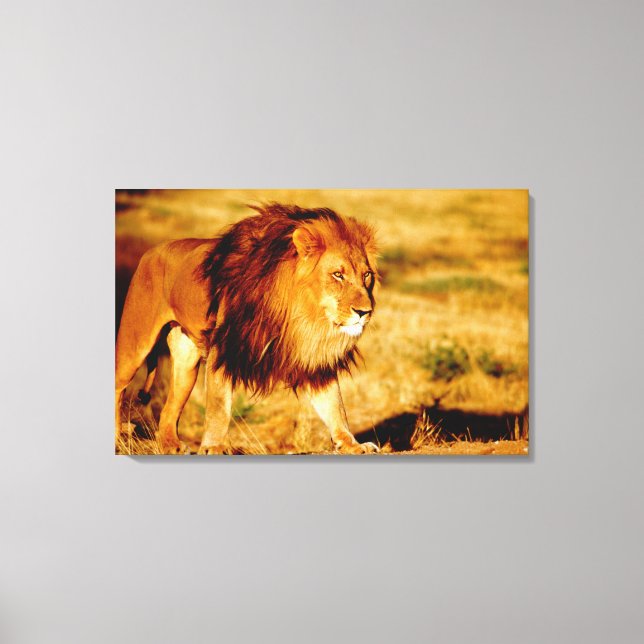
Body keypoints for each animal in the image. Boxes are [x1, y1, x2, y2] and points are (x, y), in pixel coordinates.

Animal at [115, 203, 380, 455]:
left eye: (366, 275)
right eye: (338, 275)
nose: (365, 312)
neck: (303, 315)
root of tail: (152, 250)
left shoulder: (313, 358)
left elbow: (335, 405)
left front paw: (352, 444)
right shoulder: (224, 348)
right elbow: (219, 406)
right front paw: (214, 446)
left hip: (186, 365)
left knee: (168, 410)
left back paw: (170, 445)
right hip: (134, 344)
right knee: (119, 386)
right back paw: (118, 438)